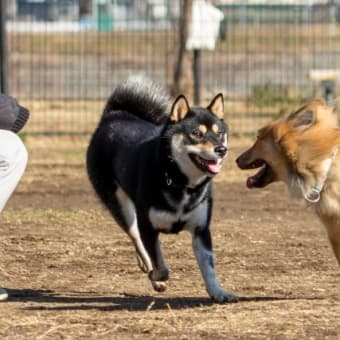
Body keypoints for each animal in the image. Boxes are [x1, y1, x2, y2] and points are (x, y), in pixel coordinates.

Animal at [86, 77, 238, 302]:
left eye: (220, 133)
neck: (180, 182)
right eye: (196, 133)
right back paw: (149, 271)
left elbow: (209, 269)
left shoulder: (201, 230)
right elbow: (161, 265)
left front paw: (218, 292)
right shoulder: (148, 227)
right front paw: (155, 276)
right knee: (136, 238)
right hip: (121, 207)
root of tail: (114, 115)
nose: (222, 149)